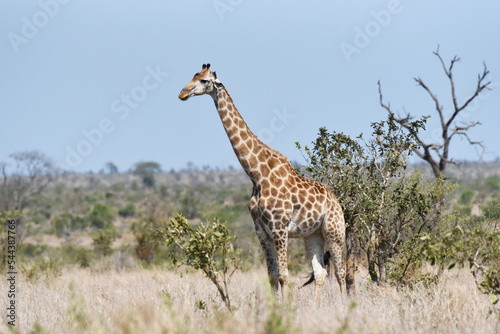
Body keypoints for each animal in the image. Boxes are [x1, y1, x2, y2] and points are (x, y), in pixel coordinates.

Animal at [178, 64, 346, 298]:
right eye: (193, 75)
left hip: (334, 231)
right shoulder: (262, 233)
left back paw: (346, 304)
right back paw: (316, 305)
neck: (257, 175)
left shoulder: (279, 229)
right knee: (320, 272)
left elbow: (284, 276)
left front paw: (286, 306)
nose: (182, 93)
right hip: (313, 235)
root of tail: (337, 201)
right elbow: (272, 276)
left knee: (340, 273)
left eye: (204, 80)